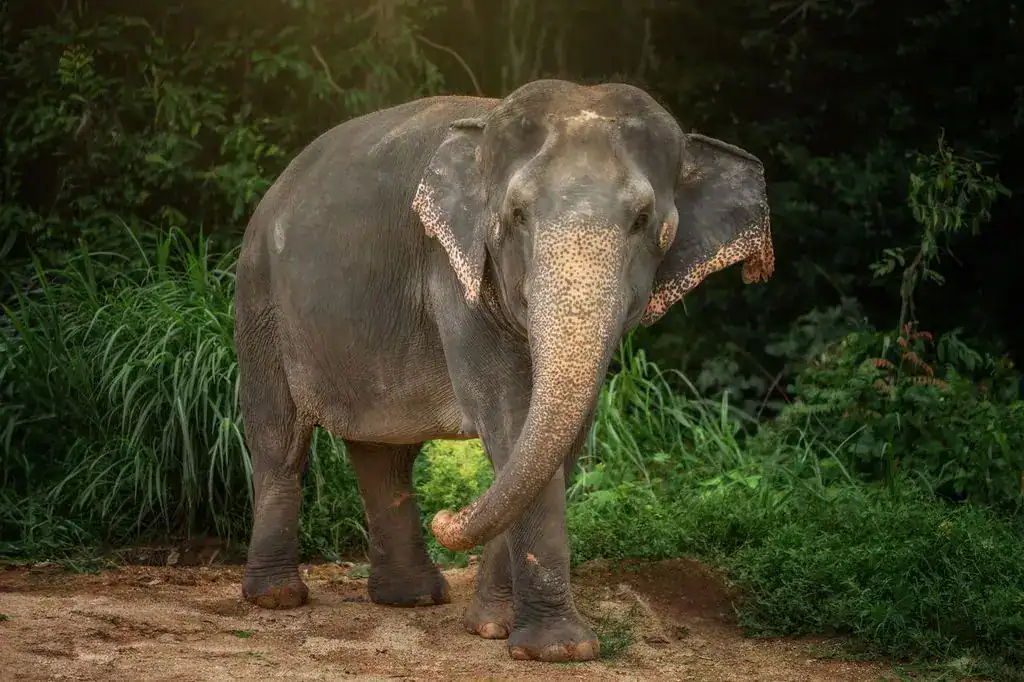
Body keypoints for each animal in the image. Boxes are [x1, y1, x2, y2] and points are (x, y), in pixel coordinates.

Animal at [233, 78, 774, 663]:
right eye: (517, 214)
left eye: (641, 221)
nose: (448, 518)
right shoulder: (454, 274)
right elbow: (509, 418)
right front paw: (557, 650)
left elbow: (558, 438)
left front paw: (492, 626)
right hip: (259, 297)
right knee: (279, 439)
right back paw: (277, 598)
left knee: (384, 453)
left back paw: (412, 598)